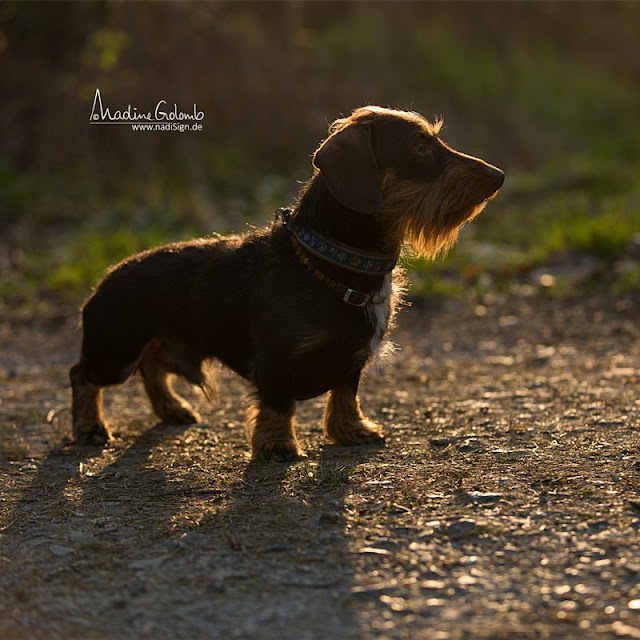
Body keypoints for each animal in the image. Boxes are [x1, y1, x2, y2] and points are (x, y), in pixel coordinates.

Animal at [69, 109, 500, 460]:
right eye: (420, 147)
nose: (499, 176)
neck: (329, 263)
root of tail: (104, 280)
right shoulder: (274, 359)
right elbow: (279, 404)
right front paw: (277, 445)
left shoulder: (354, 358)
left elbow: (346, 395)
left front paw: (351, 430)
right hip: (115, 352)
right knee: (83, 376)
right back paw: (90, 427)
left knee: (153, 370)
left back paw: (172, 409)